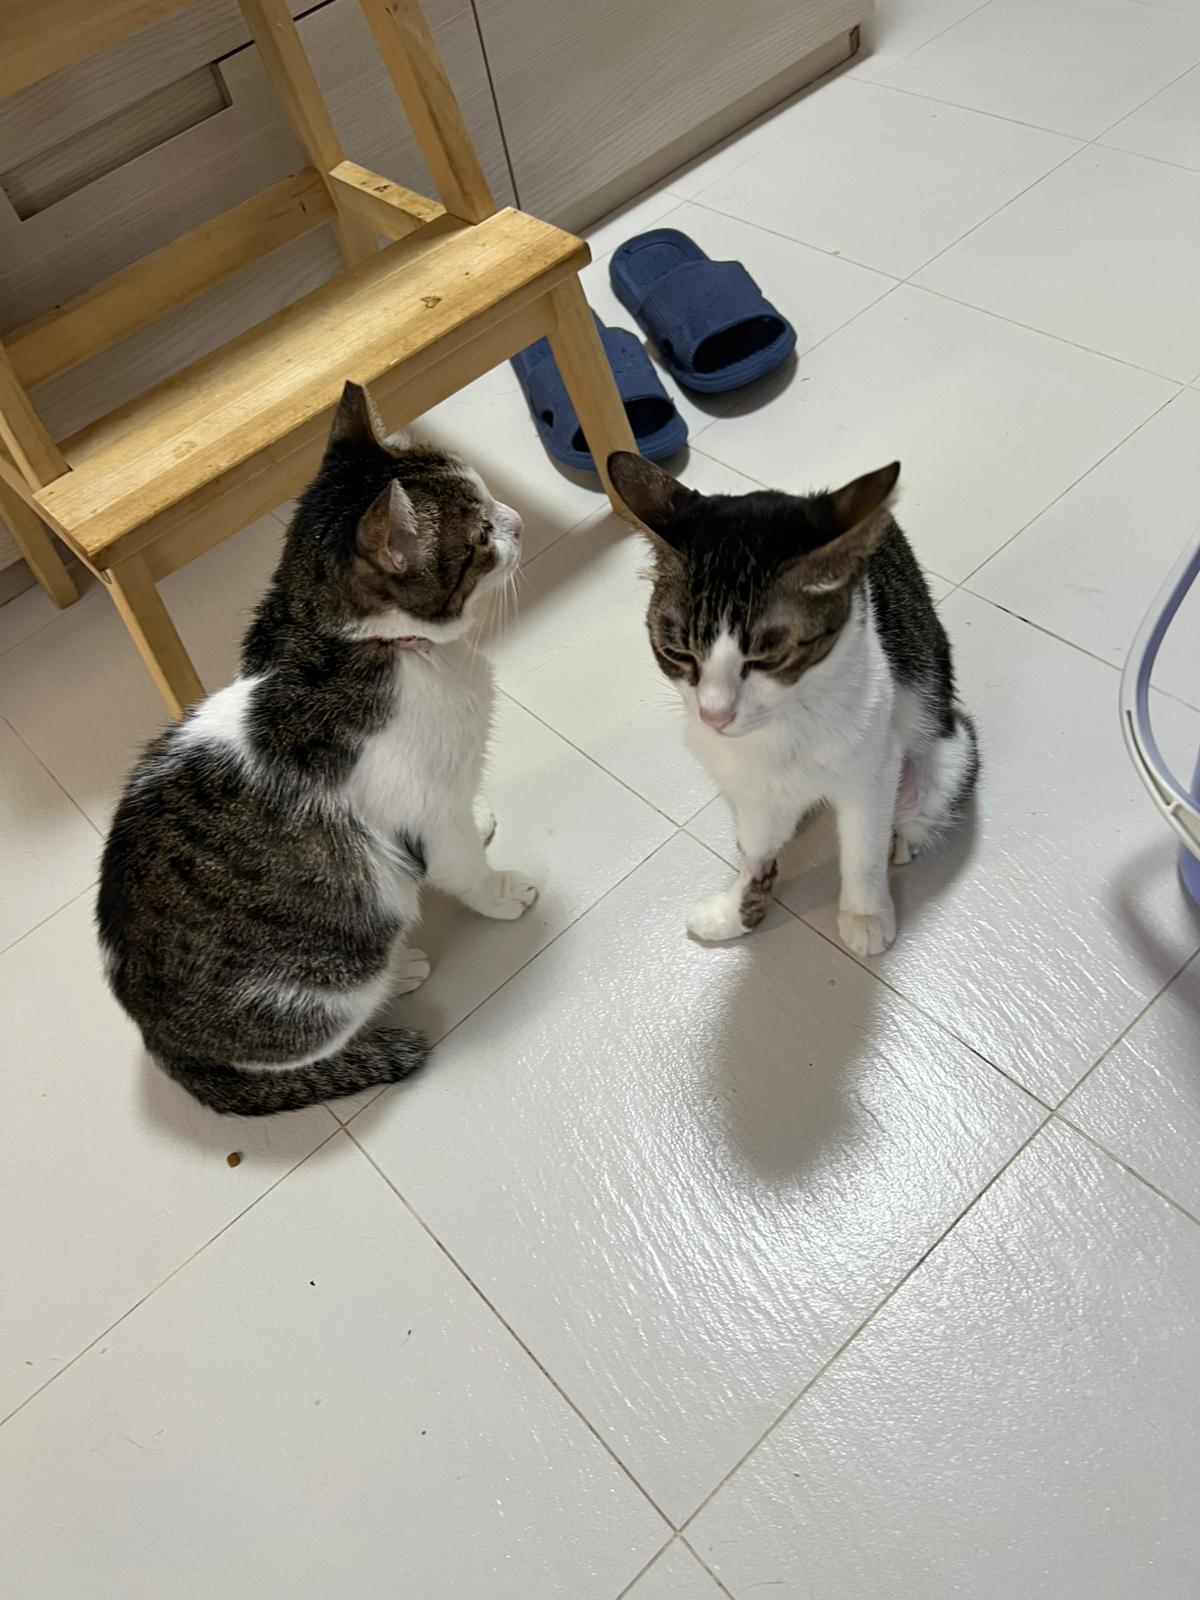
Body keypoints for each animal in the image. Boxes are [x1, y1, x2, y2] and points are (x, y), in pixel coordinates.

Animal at [96, 381, 536, 1116]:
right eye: (480, 535)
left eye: (486, 492)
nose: (520, 520)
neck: (365, 645)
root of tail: (164, 1045)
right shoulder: (425, 809)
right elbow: (464, 869)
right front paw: (505, 892)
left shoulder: (444, 796)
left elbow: (464, 827)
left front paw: (483, 820)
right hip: (332, 983)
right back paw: (401, 972)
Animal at [607, 452, 978, 957]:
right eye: (677, 652)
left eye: (767, 656)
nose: (714, 715)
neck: (783, 723)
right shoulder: (746, 780)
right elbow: (757, 847)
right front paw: (737, 910)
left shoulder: (874, 759)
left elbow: (863, 842)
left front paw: (864, 912)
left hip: (947, 748)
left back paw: (901, 841)